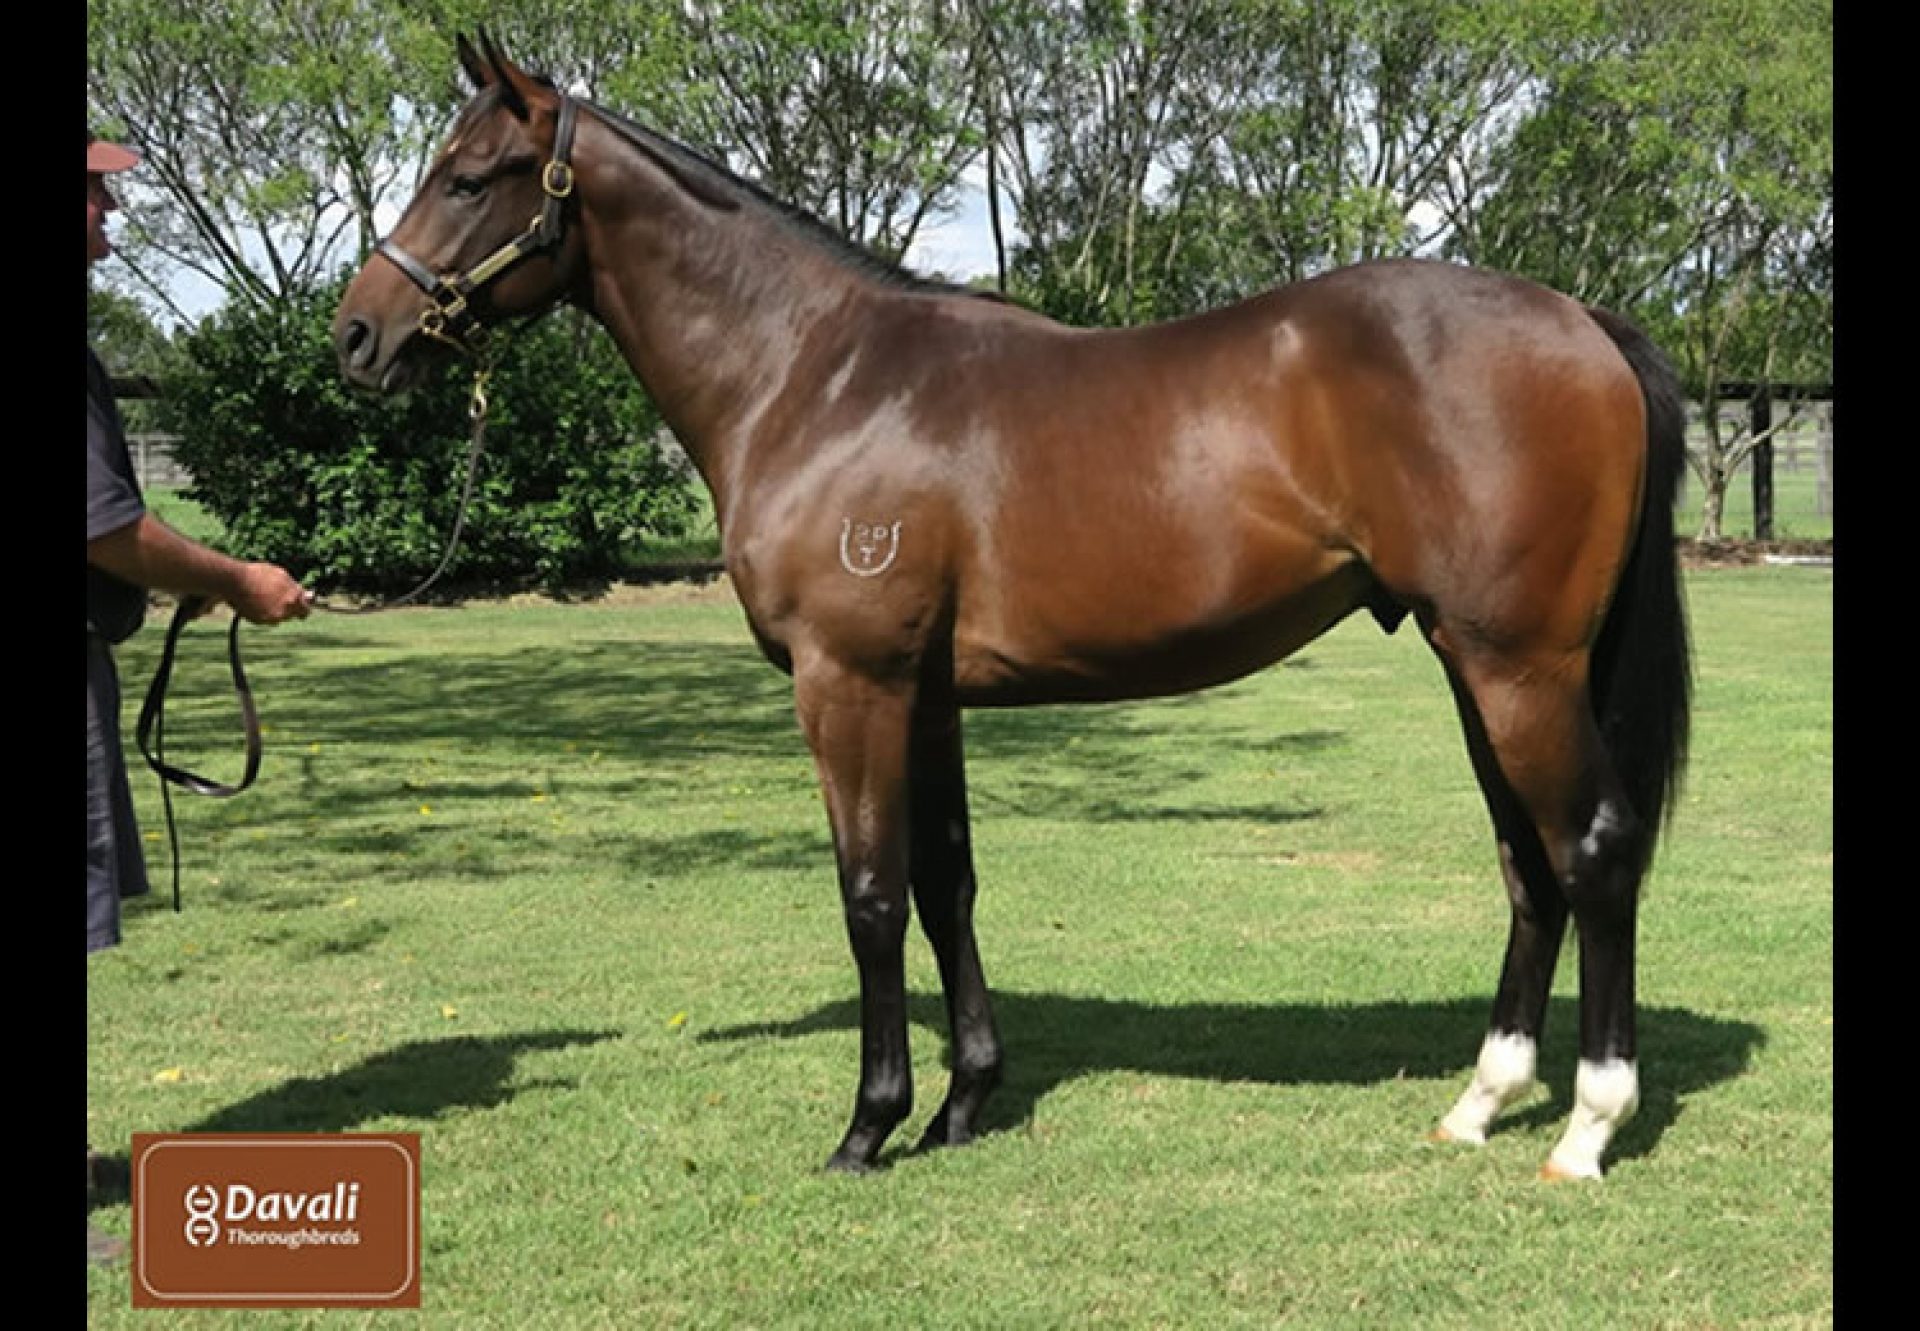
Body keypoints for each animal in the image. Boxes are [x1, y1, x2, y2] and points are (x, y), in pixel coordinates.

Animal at [337, 31, 1689, 1175]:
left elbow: (872, 895)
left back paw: (1588, 1125)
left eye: (470, 177)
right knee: (1529, 864)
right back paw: (1480, 1102)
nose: (357, 334)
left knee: (1592, 848)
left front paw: (868, 1124)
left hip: (1518, 667)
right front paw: (963, 1100)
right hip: (1479, 664)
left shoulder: (850, 686)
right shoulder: (925, 694)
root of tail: (1583, 318)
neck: (818, 376)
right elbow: (948, 883)